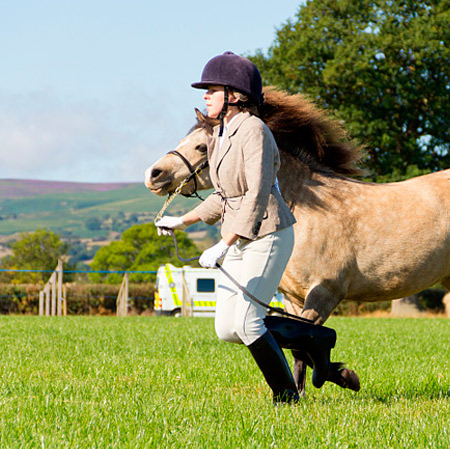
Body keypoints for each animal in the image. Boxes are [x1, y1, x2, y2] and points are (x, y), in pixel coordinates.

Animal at [145, 86, 450, 392]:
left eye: (200, 146)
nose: (153, 174)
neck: (306, 209)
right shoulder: (292, 298)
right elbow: (296, 345)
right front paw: (315, 385)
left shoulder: (325, 292)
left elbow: (306, 342)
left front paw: (339, 377)